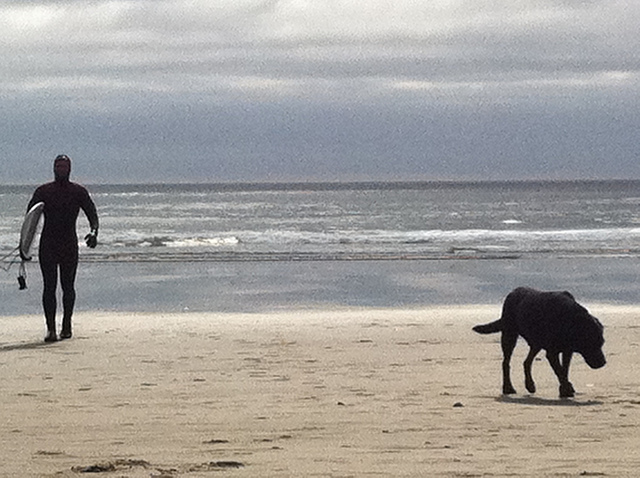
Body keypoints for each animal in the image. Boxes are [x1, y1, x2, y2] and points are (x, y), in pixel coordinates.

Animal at [473, 287, 605, 398]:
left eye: (602, 343)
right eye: (590, 344)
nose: (603, 363)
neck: (569, 319)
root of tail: (512, 292)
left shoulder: (568, 350)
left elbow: (564, 369)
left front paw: (565, 388)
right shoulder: (552, 353)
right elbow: (560, 371)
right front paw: (566, 390)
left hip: (536, 342)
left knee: (526, 362)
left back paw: (530, 385)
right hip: (509, 335)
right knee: (506, 362)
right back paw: (508, 388)